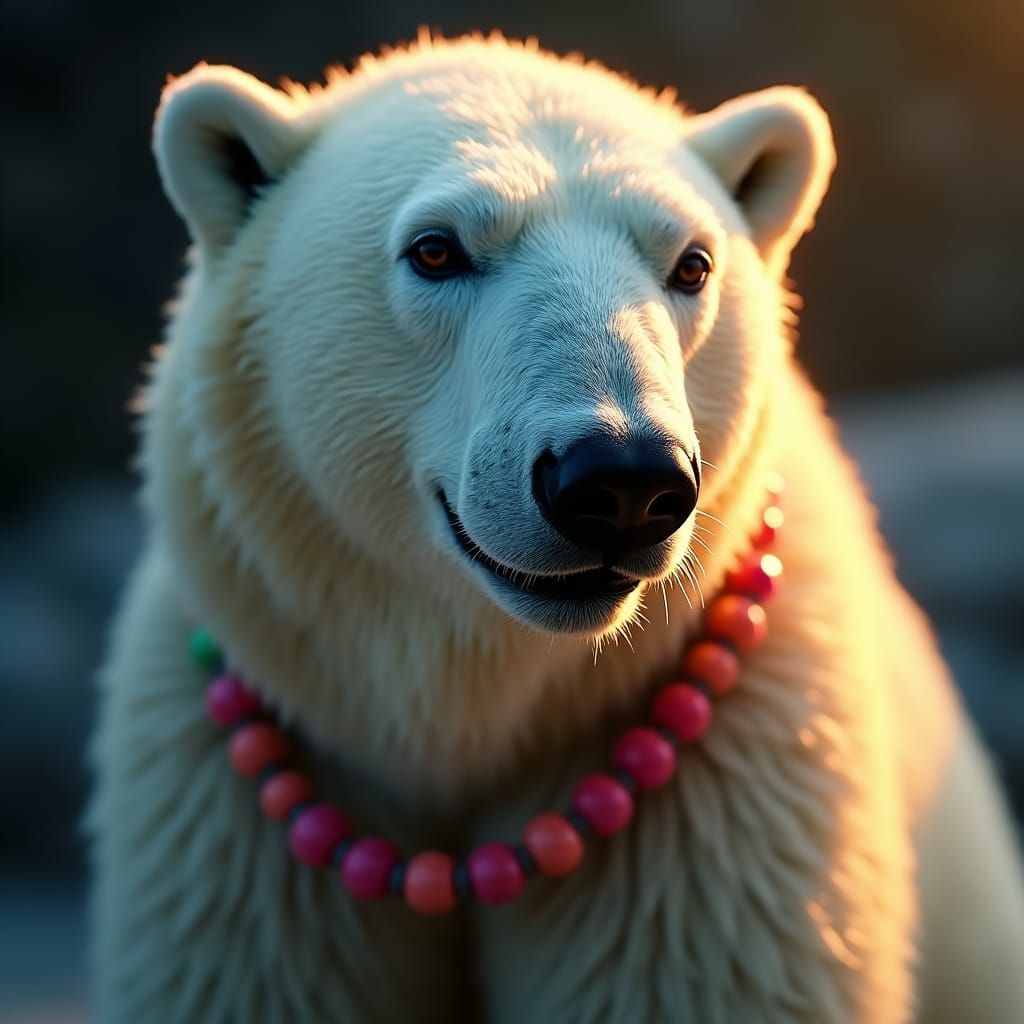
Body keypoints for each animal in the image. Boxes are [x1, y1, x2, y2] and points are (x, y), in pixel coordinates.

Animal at [88, 32, 1024, 1023]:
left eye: (692, 263)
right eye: (435, 249)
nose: (622, 482)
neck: (474, 710)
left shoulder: (716, 801)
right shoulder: (242, 809)